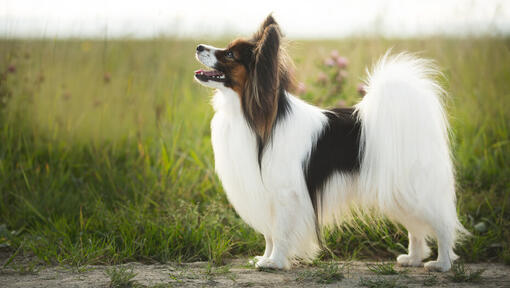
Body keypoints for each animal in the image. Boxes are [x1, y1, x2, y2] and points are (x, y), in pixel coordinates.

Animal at [193, 14, 468, 272]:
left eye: (229, 54)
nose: (198, 46)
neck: (247, 113)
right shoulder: (266, 195)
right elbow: (269, 235)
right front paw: (265, 257)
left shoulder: (285, 195)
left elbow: (280, 233)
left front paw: (275, 262)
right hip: (396, 193)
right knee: (416, 228)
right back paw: (413, 259)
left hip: (413, 191)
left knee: (442, 225)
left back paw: (442, 264)